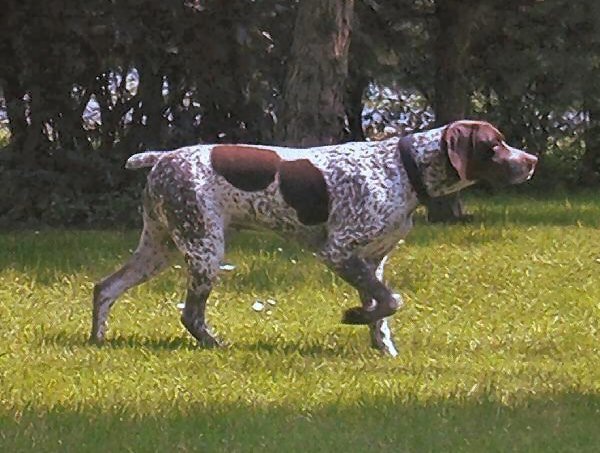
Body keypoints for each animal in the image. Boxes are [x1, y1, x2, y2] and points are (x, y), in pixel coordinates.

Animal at [92, 121, 540, 356]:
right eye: (495, 144)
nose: (532, 161)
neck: (402, 169)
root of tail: (163, 158)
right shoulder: (338, 250)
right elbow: (392, 300)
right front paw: (354, 316)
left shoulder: (372, 260)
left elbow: (381, 308)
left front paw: (382, 347)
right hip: (204, 248)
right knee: (190, 314)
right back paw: (215, 343)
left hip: (160, 248)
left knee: (105, 287)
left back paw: (98, 338)